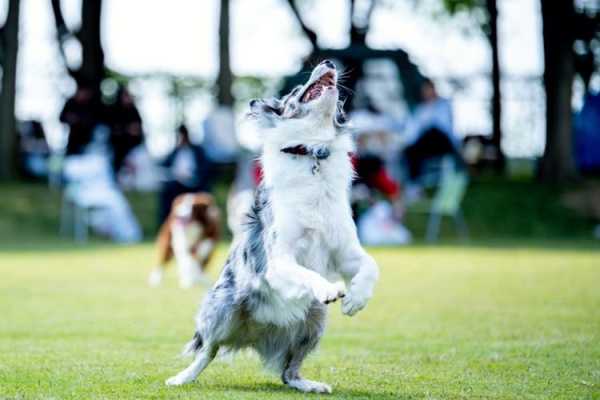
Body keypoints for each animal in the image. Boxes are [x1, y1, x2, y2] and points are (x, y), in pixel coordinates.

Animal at [164, 60, 380, 394]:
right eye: (296, 90)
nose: (329, 62)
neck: (313, 153)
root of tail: (257, 334)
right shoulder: (279, 259)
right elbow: (308, 274)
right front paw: (329, 287)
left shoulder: (346, 252)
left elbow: (371, 266)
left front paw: (356, 299)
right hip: (222, 308)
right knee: (208, 349)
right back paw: (183, 377)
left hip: (315, 319)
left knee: (288, 371)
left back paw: (308, 384)